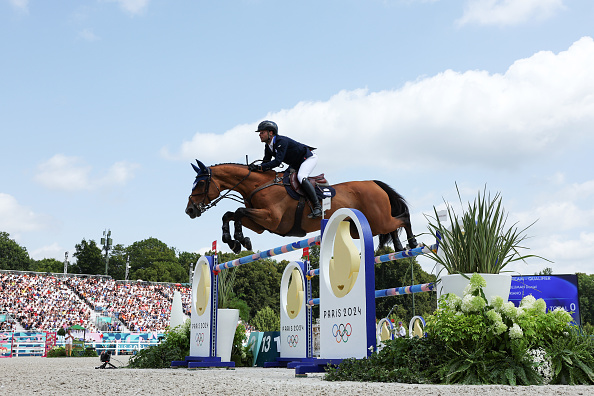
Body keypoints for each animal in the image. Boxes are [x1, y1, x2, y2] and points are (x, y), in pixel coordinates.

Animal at [185, 160, 416, 254]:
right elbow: (230, 214)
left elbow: (239, 212)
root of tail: (374, 183)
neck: (258, 185)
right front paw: (234, 241)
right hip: (361, 227)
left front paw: (240, 240)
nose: (190, 210)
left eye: (201, 184)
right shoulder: (261, 224)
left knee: (403, 217)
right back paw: (399, 247)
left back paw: (412, 243)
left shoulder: (271, 219)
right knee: (393, 226)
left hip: (376, 221)